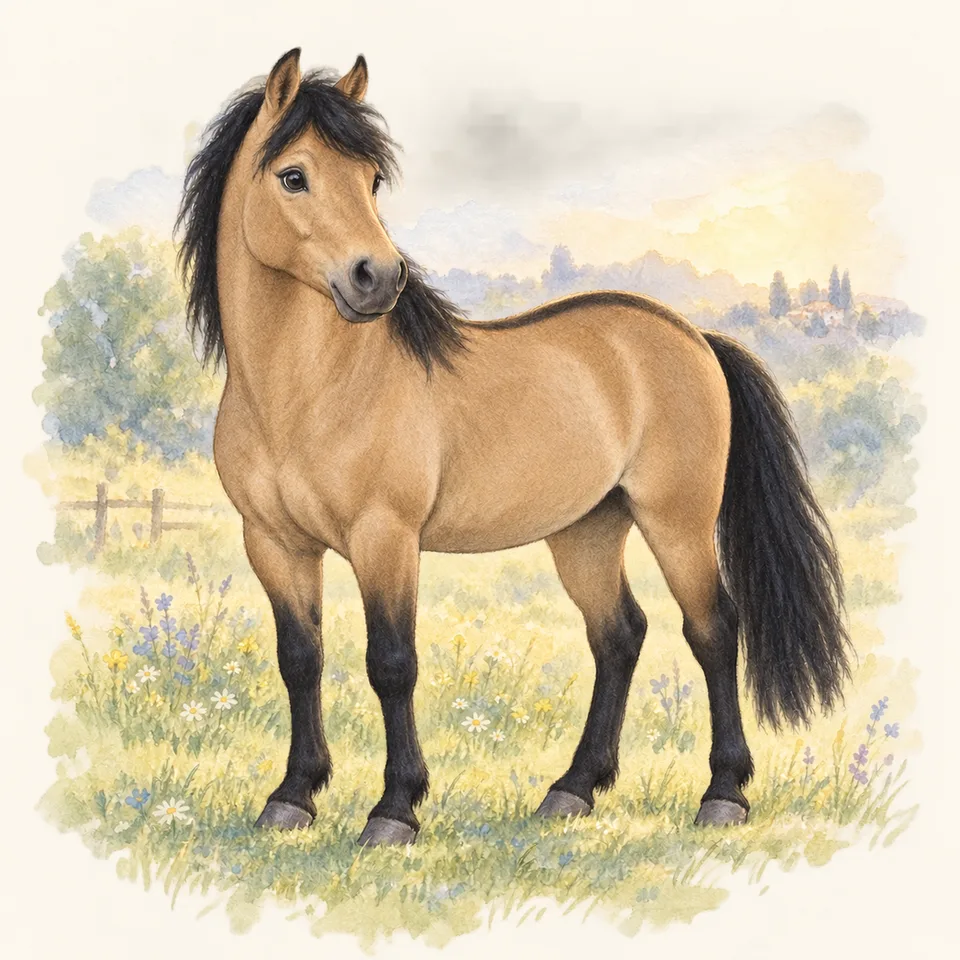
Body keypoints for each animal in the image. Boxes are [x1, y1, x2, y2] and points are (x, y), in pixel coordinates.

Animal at [176, 48, 849, 847]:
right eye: (293, 176)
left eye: (370, 180)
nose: (377, 278)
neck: (306, 392)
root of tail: (693, 337)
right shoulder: (273, 543)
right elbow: (300, 659)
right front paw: (292, 797)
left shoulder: (385, 538)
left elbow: (391, 663)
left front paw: (394, 810)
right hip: (588, 530)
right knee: (619, 635)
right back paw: (572, 790)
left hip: (676, 522)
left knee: (713, 630)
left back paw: (723, 794)